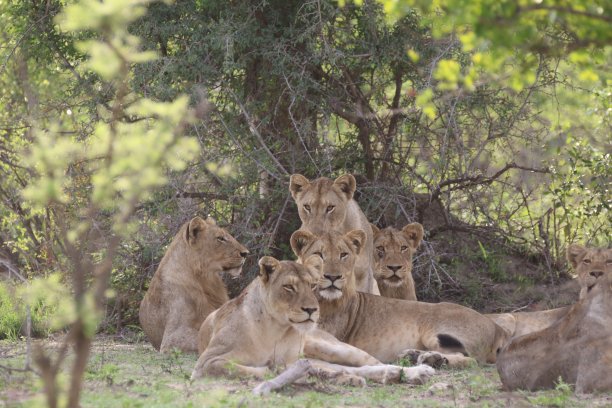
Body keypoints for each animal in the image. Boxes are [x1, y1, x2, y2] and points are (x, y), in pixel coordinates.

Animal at [191, 256, 436, 388]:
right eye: (289, 287)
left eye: (312, 285)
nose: (311, 310)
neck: (275, 329)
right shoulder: (206, 363)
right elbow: (248, 370)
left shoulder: (293, 360)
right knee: (353, 369)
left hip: (332, 346)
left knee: (371, 363)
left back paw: (416, 372)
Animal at [290, 230, 506, 366]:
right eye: (319, 254)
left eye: (343, 255)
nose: (333, 277)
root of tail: (498, 328)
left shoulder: (326, 335)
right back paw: (413, 355)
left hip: (434, 328)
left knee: (470, 360)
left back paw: (433, 360)